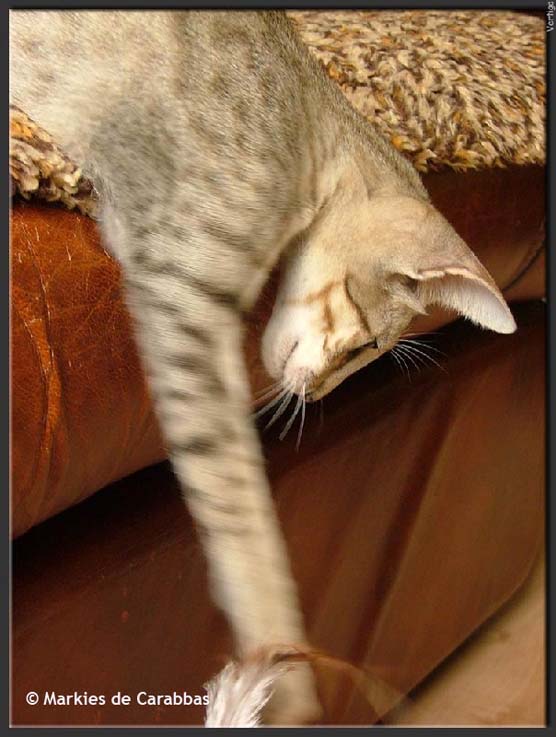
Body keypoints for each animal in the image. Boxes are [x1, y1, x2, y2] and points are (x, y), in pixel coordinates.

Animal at [10, 10, 516, 725]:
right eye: (366, 348)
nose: (325, 392)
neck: (305, 113)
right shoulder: (180, 287)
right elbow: (243, 514)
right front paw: (277, 679)